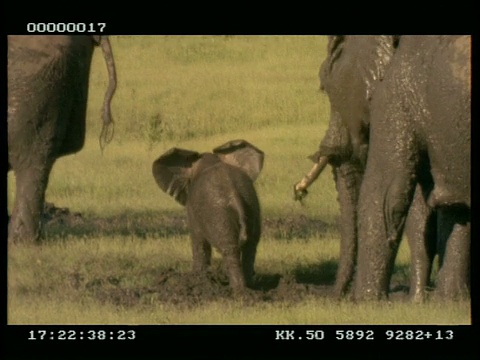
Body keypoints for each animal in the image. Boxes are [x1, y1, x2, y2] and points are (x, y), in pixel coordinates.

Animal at [152, 138, 264, 292]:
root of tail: (236, 198)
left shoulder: (192, 208)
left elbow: (198, 241)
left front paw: (196, 279)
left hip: (219, 216)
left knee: (230, 250)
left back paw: (238, 290)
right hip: (251, 207)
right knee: (250, 247)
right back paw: (250, 286)